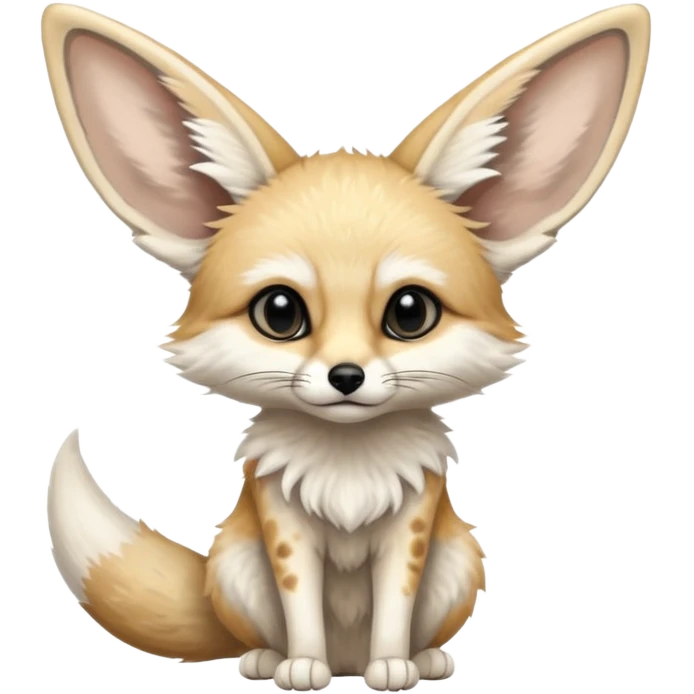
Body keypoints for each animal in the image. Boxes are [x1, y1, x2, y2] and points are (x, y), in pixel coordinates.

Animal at [42, 2, 652, 690]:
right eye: (279, 313)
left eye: (410, 313)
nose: (346, 376)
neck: (348, 467)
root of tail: (347, 660)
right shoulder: (283, 528)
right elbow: (301, 604)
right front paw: (303, 665)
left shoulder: (413, 528)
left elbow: (395, 604)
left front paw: (393, 665)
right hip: (236, 560)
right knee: (260, 632)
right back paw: (272, 659)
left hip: (459, 558)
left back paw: (420, 660)